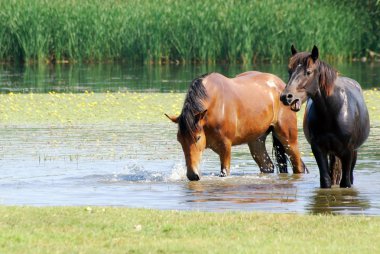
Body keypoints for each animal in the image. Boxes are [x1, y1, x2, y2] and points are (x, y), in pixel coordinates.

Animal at [166, 70, 306, 180]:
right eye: (179, 139)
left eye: (198, 137)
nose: (192, 175)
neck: (214, 105)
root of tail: (282, 87)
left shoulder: (225, 146)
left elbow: (224, 172)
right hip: (256, 141)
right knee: (268, 166)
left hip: (288, 139)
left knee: (299, 166)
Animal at [280, 45, 370, 189]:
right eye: (290, 70)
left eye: (308, 72)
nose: (286, 97)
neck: (333, 111)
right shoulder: (318, 149)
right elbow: (326, 180)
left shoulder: (348, 152)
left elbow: (346, 182)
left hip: (353, 152)